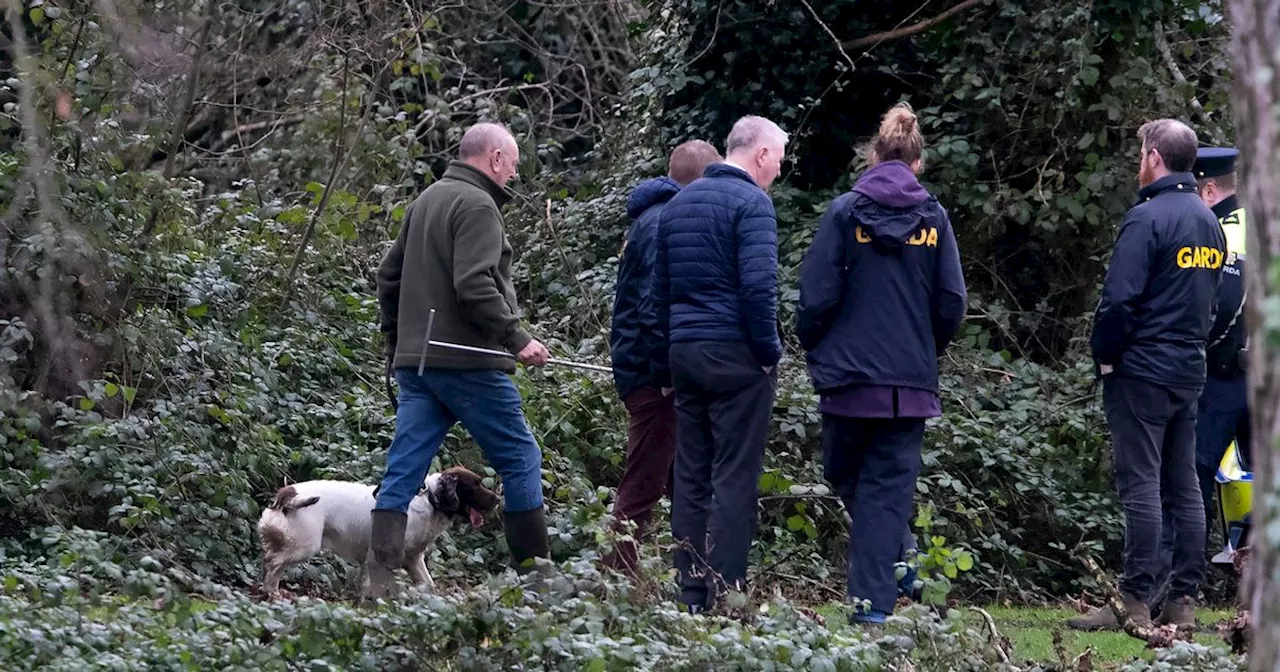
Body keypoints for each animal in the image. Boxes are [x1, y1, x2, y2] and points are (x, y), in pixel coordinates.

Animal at [256, 465, 499, 596]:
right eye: (475, 485)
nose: (498, 499)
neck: (430, 500)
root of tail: (287, 494)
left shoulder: (413, 559)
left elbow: (428, 585)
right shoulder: (381, 556)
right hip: (305, 545)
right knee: (272, 562)